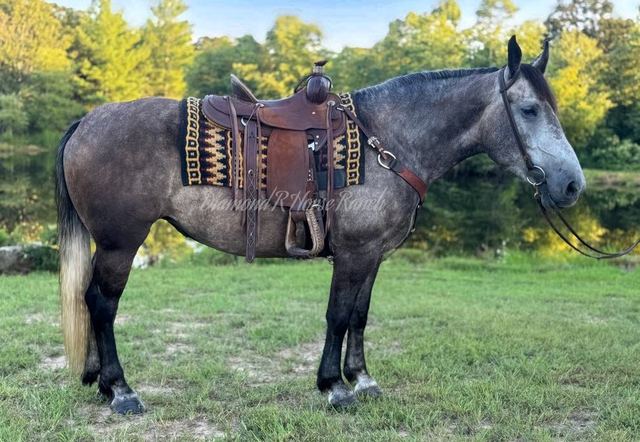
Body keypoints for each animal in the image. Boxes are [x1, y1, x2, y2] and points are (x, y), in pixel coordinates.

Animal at [56, 36, 585, 413]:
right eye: (529, 110)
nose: (571, 184)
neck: (386, 143)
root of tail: (86, 121)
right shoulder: (353, 253)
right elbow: (337, 315)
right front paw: (334, 386)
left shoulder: (371, 255)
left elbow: (360, 315)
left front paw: (362, 379)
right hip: (122, 244)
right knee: (102, 305)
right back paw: (121, 390)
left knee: (89, 300)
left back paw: (100, 382)